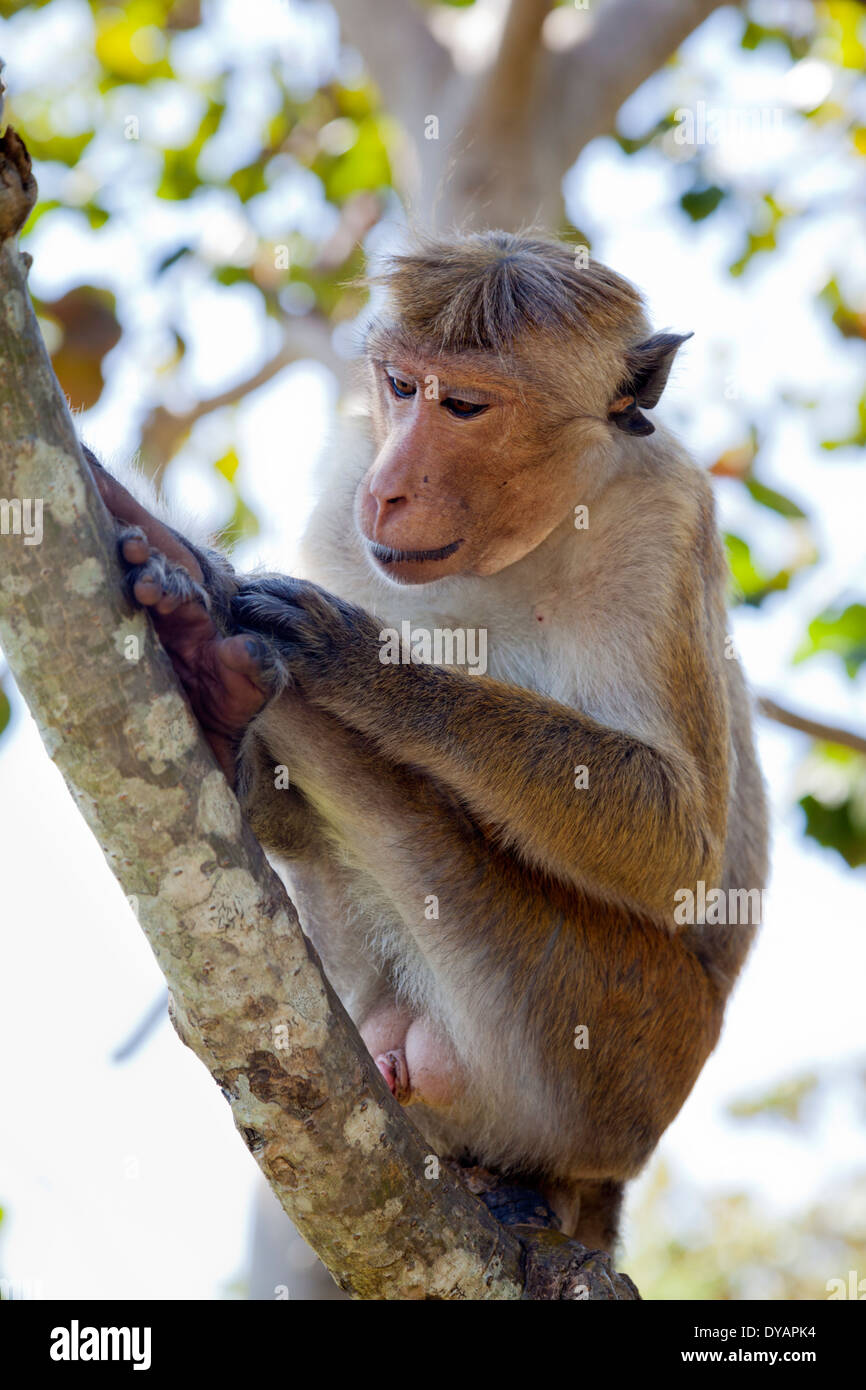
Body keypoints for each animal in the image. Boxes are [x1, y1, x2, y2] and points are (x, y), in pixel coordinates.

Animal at [85, 230, 768, 1254]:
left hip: (601, 1038)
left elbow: (679, 845)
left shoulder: (665, 518)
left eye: (466, 407)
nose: (390, 487)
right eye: (402, 387)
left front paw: (361, 665)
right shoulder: (342, 486)